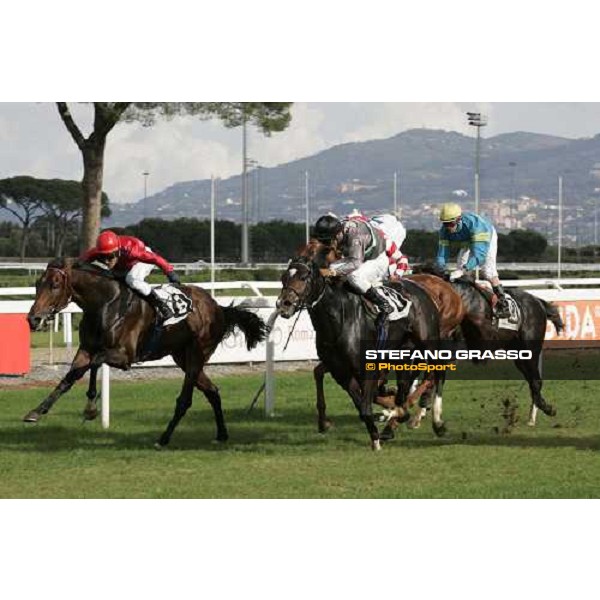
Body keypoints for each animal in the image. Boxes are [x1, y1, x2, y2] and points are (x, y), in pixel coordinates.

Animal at [25, 260, 264, 448]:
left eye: (55, 285)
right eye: (37, 284)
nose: (33, 319)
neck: (105, 303)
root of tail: (218, 307)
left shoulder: (124, 357)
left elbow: (94, 362)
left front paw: (91, 408)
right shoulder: (86, 349)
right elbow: (70, 376)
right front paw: (36, 411)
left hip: (198, 353)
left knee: (185, 400)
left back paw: (164, 438)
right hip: (183, 357)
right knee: (212, 391)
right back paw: (221, 434)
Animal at [276, 241, 446, 448]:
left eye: (303, 277)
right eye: (283, 278)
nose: (283, 304)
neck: (339, 319)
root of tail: (423, 289)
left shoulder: (368, 367)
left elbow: (367, 404)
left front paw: (381, 430)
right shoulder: (340, 371)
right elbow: (361, 404)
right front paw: (377, 429)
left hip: (429, 343)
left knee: (437, 373)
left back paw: (435, 421)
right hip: (404, 351)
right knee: (407, 384)